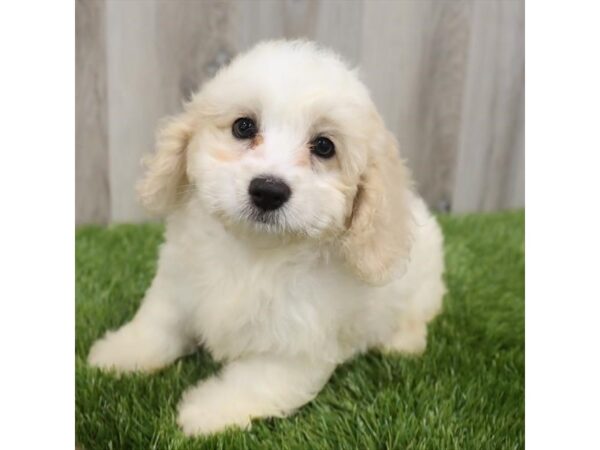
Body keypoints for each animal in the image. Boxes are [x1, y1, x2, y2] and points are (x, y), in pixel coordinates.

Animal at [88, 39, 446, 436]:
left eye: (324, 146)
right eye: (243, 127)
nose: (268, 190)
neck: (254, 251)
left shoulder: (294, 351)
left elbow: (253, 383)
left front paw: (205, 412)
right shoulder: (177, 286)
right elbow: (157, 324)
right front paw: (119, 353)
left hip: (422, 283)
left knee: (417, 313)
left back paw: (402, 342)